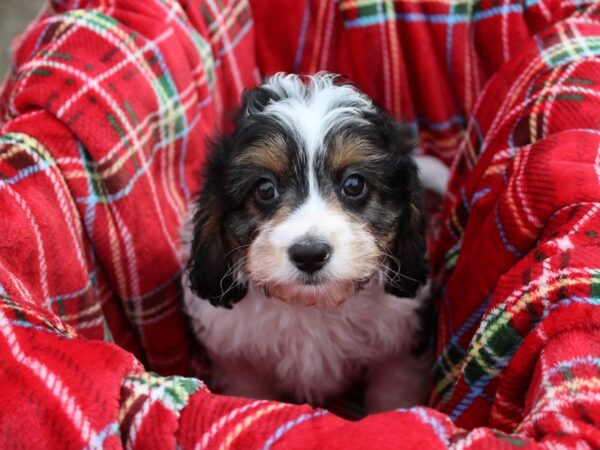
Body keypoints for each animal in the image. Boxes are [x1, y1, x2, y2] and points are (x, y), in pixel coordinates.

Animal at [183, 72, 436, 414]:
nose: (310, 254)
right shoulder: (238, 358)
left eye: (354, 185)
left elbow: (392, 389)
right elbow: (249, 390)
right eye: (265, 189)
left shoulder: (398, 347)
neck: (312, 306)